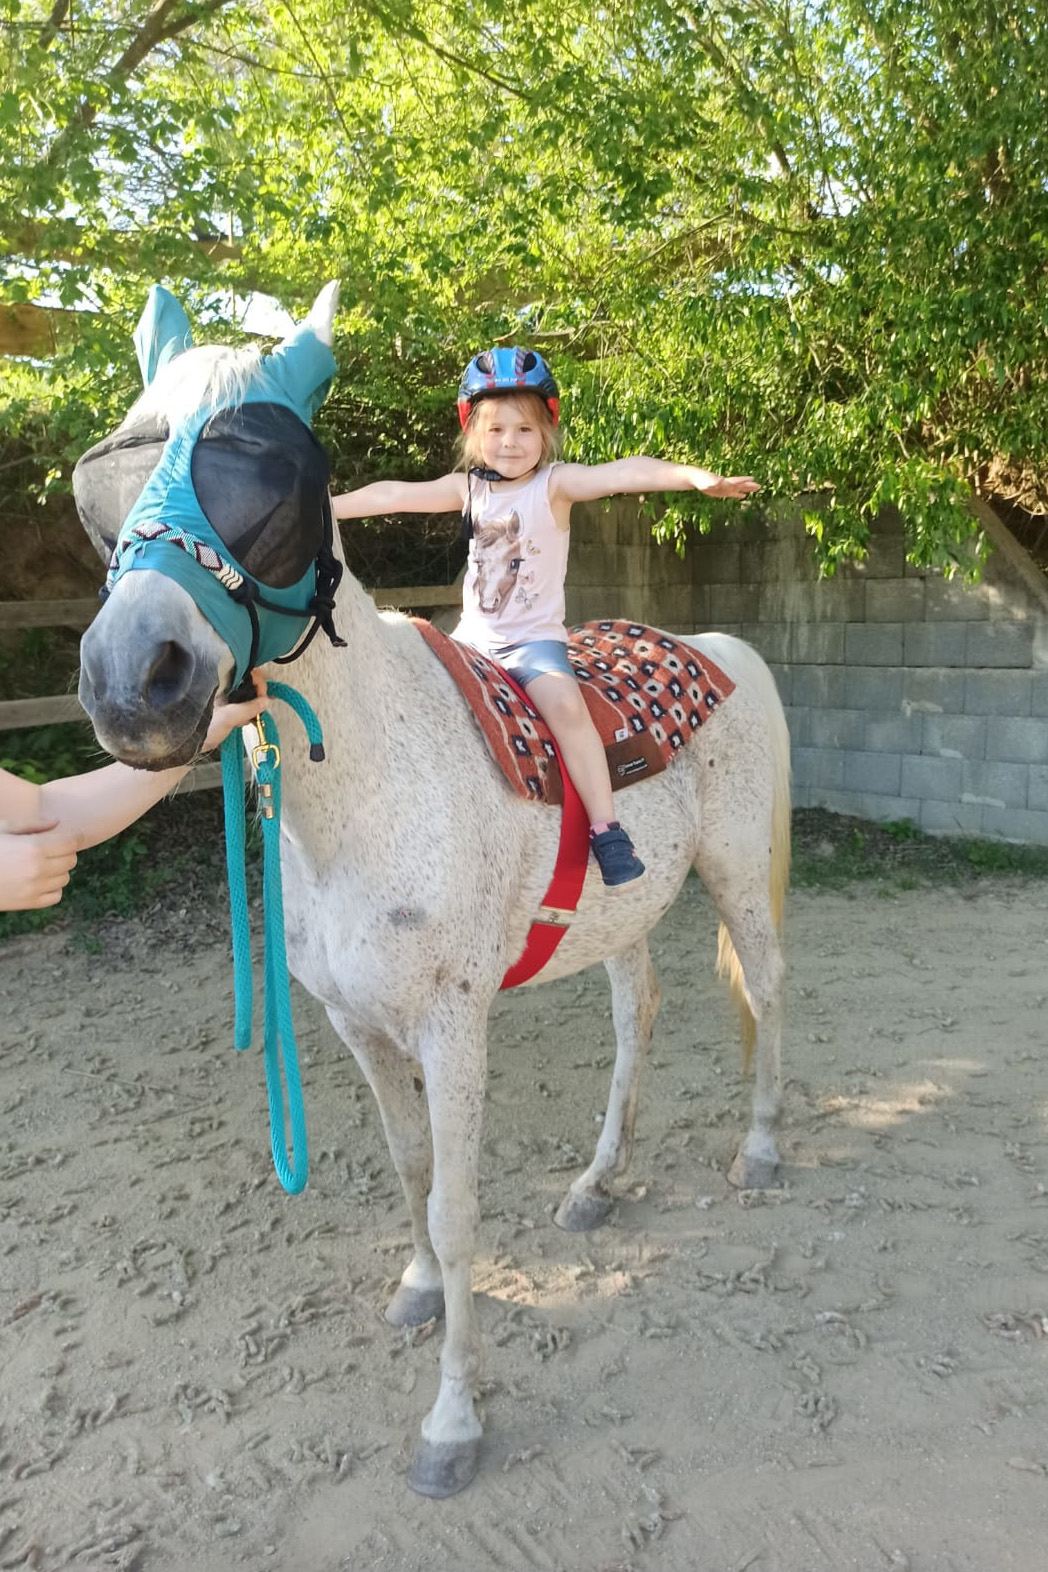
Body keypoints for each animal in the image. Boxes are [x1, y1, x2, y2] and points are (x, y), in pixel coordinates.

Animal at [75, 283, 790, 1498]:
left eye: (270, 472)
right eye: (113, 475)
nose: (136, 679)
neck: (372, 782)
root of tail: (717, 646)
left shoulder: (454, 1026)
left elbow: (457, 1211)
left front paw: (453, 1423)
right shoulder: (355, 1026)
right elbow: (408, 1172)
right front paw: (412, 1291)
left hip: (738, 875)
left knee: (770, 989)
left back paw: (763, 1150)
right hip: (623, 917)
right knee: (637, 1013)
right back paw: (598, 1183)